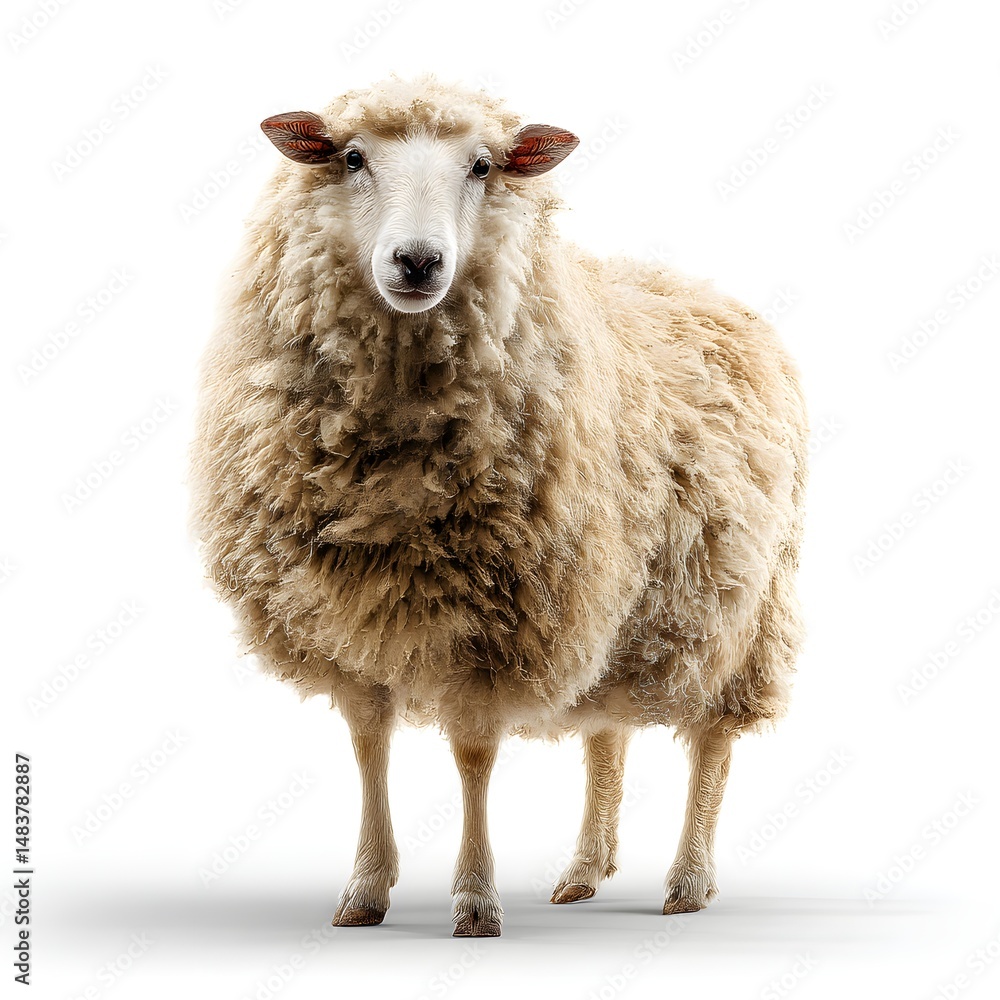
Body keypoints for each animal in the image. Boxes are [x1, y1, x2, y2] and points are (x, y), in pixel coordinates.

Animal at [189, 74, 807, 938]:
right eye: (352, 157)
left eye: (483, 166)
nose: (418, 260)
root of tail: (704, 291)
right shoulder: (342, 614)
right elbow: (368, 746)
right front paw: (366, 888)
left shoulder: (499, 617)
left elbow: (473, 756)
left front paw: (475, 899)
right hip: (622, 599)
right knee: (607, 730)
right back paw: (585, 870)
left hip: (737, 604)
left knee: (713, 740)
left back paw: (688, 882)